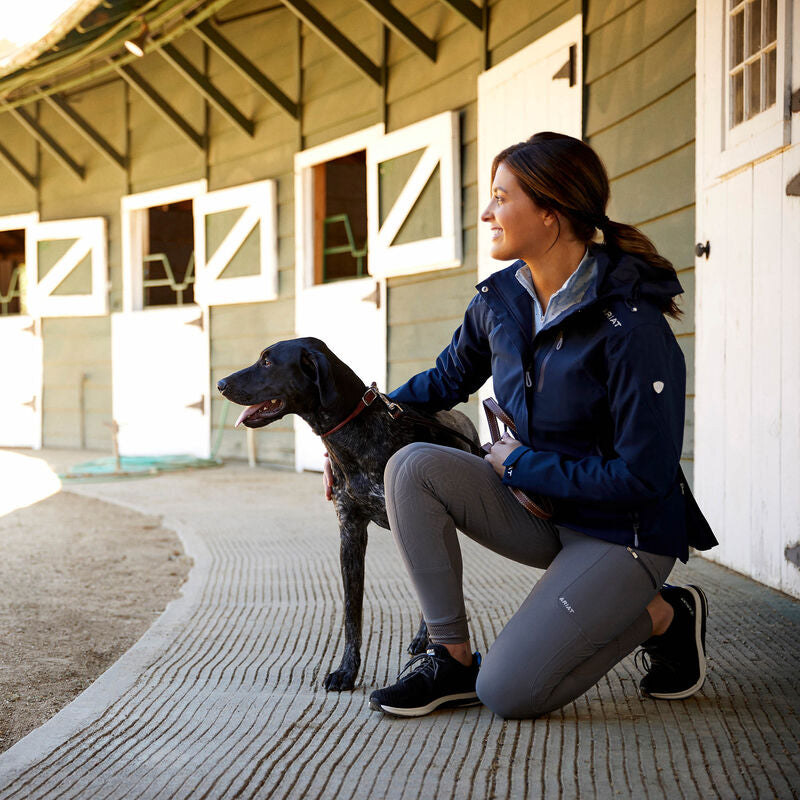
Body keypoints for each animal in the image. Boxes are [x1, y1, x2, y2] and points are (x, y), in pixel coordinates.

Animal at [216, 334, 478, 692]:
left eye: (267, 362)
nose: (220, 383)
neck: (357, 433)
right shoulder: (350, 533)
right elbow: (351, 615)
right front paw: (347, 670)